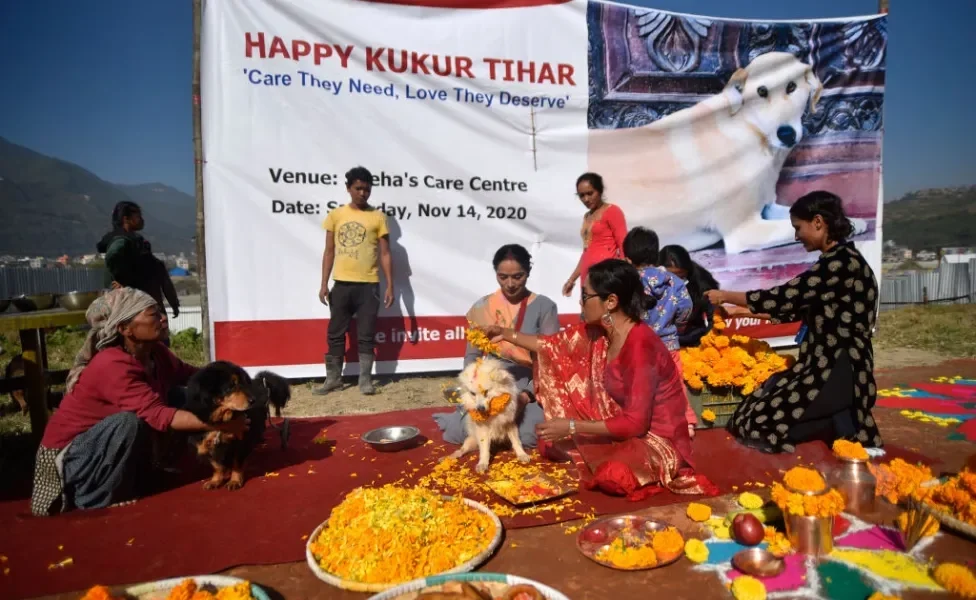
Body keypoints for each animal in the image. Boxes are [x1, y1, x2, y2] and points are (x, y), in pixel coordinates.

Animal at [183, 360, 290, 488]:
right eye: (231, 385)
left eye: (244, 384)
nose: (253, 400)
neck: (221, 420)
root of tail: (259, 381)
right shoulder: (204, 445)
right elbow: (216, 466)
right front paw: (215, 481)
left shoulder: (240, 442)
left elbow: (236, 464)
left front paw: (234, 481)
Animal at [588, 51, 868, 255]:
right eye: (761, 91)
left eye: (791, 86)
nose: (786, 134)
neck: (749, 130)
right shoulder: (745, 231)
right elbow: (789, 229)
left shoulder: (767, 206)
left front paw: (850, 221)